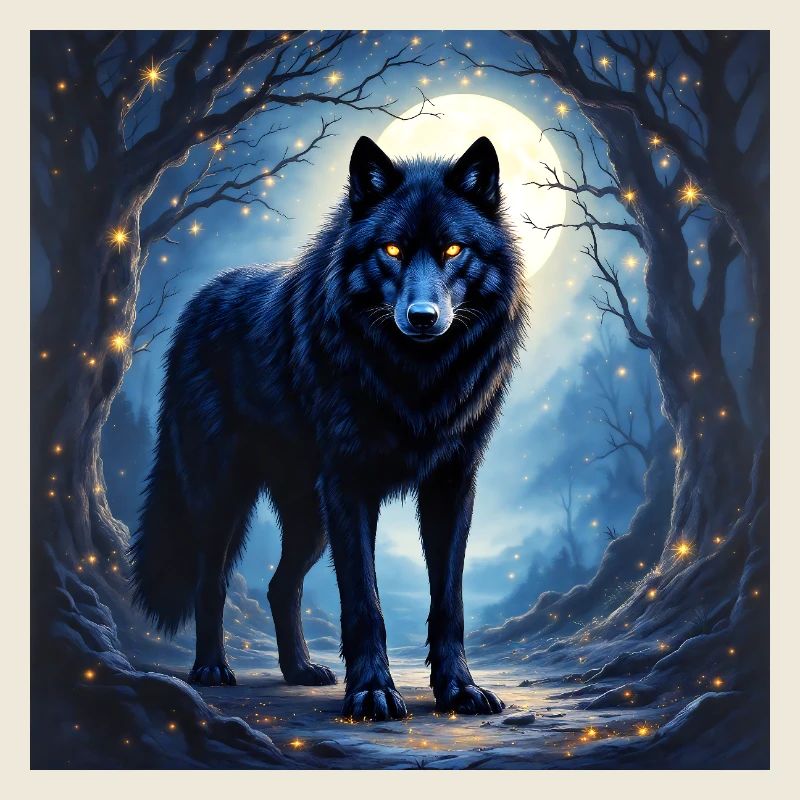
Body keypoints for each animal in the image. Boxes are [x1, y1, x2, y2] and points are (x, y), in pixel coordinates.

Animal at [130, 135, 528, 720]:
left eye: (454, 250)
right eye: (392, 250)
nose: (423, 317)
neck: (416, 382)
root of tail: (198, 303)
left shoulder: (452, 485)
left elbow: (449, 602)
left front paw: (459, 689)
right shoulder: (349, 486)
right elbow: (364, 603)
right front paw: (372, 692)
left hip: (308, 516)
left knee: (279, 586)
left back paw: (299, 671)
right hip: (224, 498)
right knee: (212, 582)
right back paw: (211, 670)